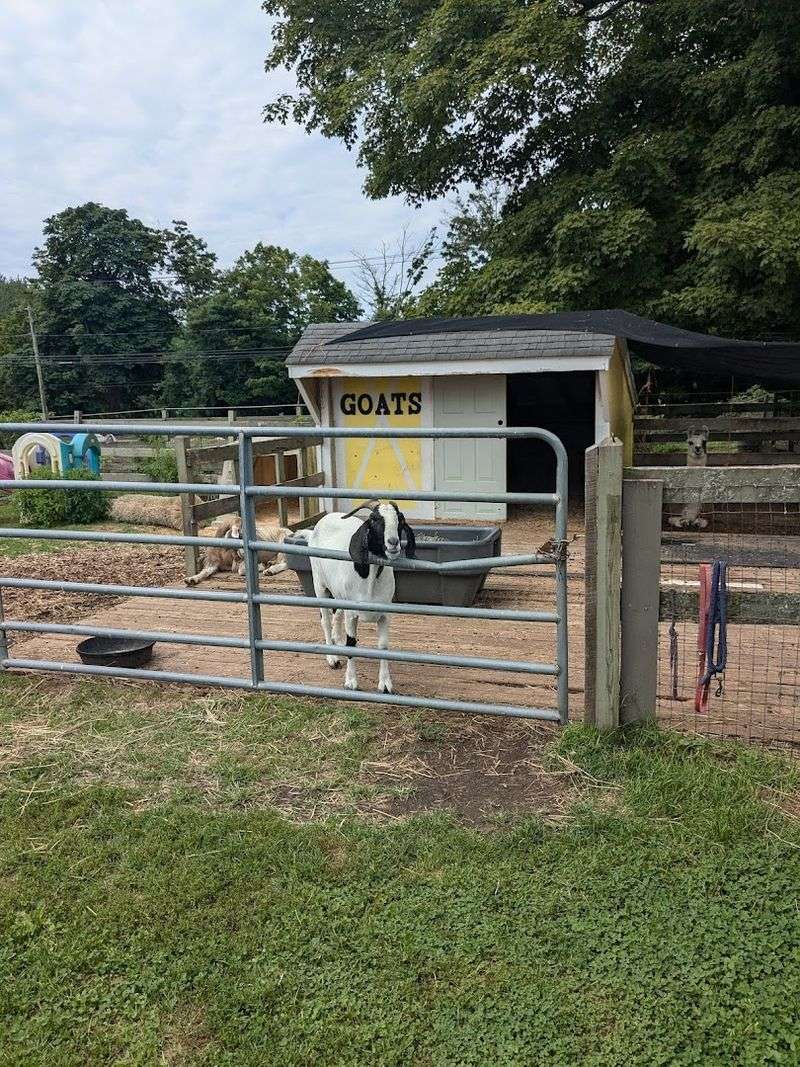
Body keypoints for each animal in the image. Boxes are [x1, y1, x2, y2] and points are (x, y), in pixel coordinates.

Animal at [307, 502, 416, 693]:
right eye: (373, 519)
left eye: (400, 518)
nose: (393, 543)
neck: (369, 579)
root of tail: (327, 517)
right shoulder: (352, 614)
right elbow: (352, 644)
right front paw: (351, 682)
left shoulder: (385, 614)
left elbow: (383, 646)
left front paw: (385, 684)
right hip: (319, 584)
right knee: (325, 620)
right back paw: (332, 658)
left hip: (339, 593)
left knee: (337, 615)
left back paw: (338, 639)